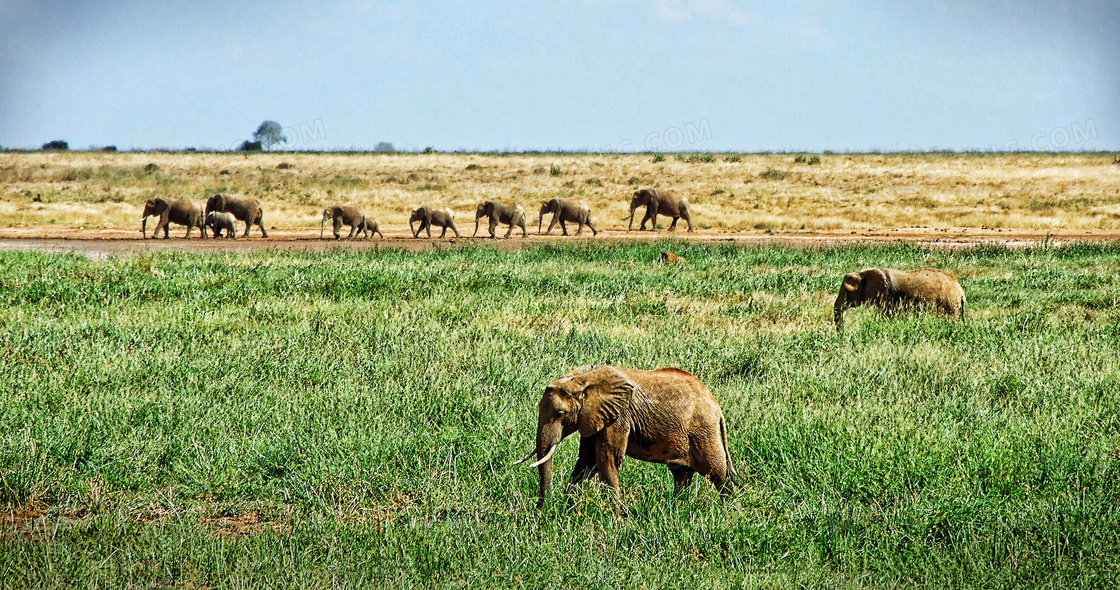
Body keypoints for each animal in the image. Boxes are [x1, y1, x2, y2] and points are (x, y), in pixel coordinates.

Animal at [512, 362, 734, 510]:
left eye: (560, 414)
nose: (541, 509)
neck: (583, 379)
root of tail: (717, 407)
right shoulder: (594, 416)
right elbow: (587, 460)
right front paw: (569, 507)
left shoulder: (619, 416)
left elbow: (607, 458)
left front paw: (615, 516)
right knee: (681, 474)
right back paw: (679, 509)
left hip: (703, 430)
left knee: (718, 473)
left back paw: (730, 512)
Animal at [837, 268, 967, 331]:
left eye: (847, 293)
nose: (842, 332)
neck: (863, 273)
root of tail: (961, 292)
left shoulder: (887, 296)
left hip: (949, 304)